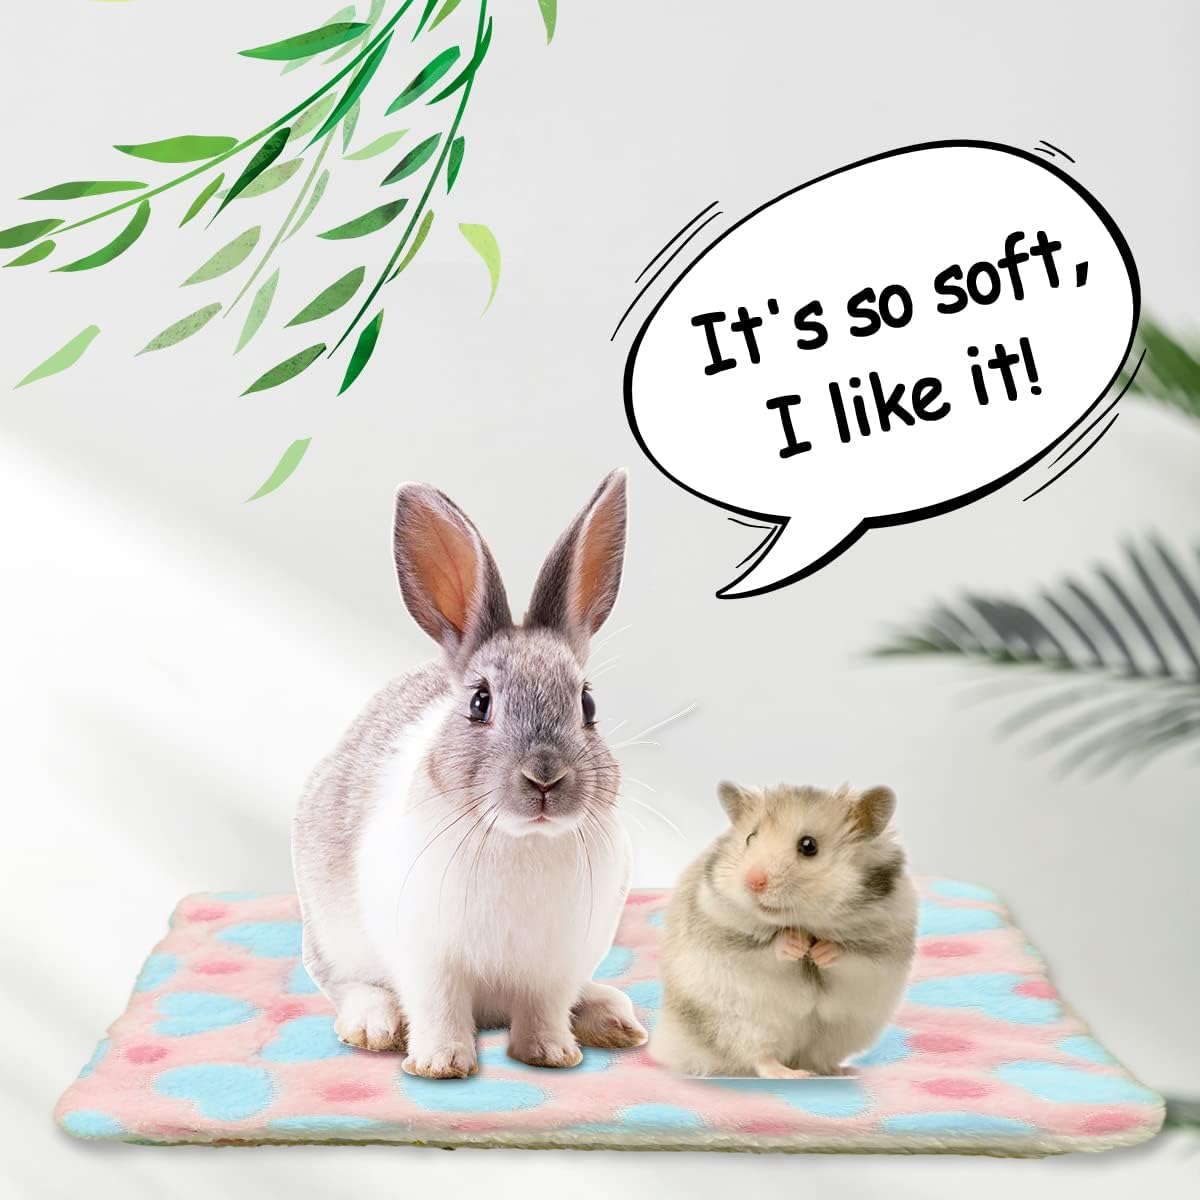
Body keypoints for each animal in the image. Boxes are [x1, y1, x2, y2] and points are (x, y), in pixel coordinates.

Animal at [292, 470, 647, 1079]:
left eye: (588, 705)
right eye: (480, 703)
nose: (544, 778)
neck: (521, 840)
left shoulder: (554, 966)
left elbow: (545, 1009)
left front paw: (552, 1055)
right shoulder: (428, 958)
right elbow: (438, 1007)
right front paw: (440, 1064)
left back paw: (611, 1017)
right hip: (332, 934)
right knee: (347, 984)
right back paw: (374, 1024)